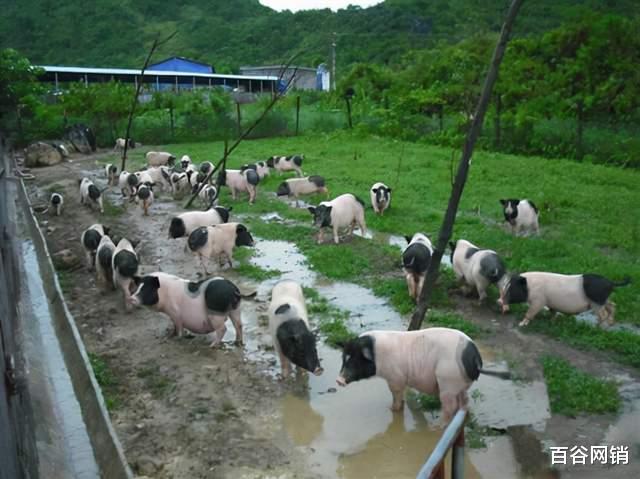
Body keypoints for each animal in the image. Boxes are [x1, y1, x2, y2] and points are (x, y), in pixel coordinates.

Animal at [336, 328, 510, 422]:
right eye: (344, 358)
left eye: (354, 360)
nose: (338, 380)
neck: (377, 355)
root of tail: (475, 358)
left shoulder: (395, 378)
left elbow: (395, 394)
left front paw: (392, 409)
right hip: (460, 384)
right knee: (464, 402)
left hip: (447, 381)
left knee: (450, 406)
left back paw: (440, 427)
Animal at [496, 272, 632, 328]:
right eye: (506, 286)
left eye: (511, 289)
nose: (499, 301)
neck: (530, 287)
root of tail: (611, 283)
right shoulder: (549, 303)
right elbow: (553, 312)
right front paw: (551, 321)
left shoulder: (538, 301)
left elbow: (530, 313)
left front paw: (521, 324)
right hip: (604, 299)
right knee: (612, 305)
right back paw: (610, 324)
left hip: (596, 303)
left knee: (602, 313)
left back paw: (597, 327)